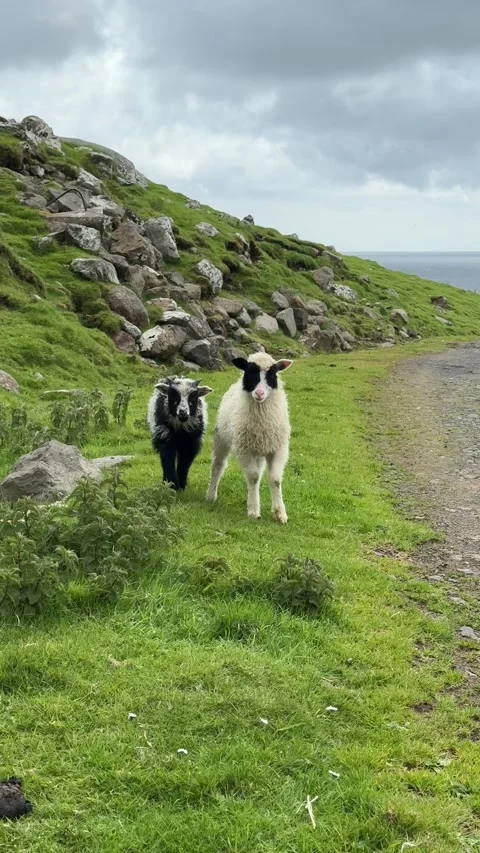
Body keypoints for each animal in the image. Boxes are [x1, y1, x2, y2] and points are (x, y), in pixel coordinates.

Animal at [206, 352, 293, 523]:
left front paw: (280, 514)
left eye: (272, 375)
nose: (259, 393)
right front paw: (253, 511)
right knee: (218, 466)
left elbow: (275, 479)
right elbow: (252, 478)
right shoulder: (245, 449)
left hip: (259, 450)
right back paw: (211, 495)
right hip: (222, 439)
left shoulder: (277, 449)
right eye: (250, 372)